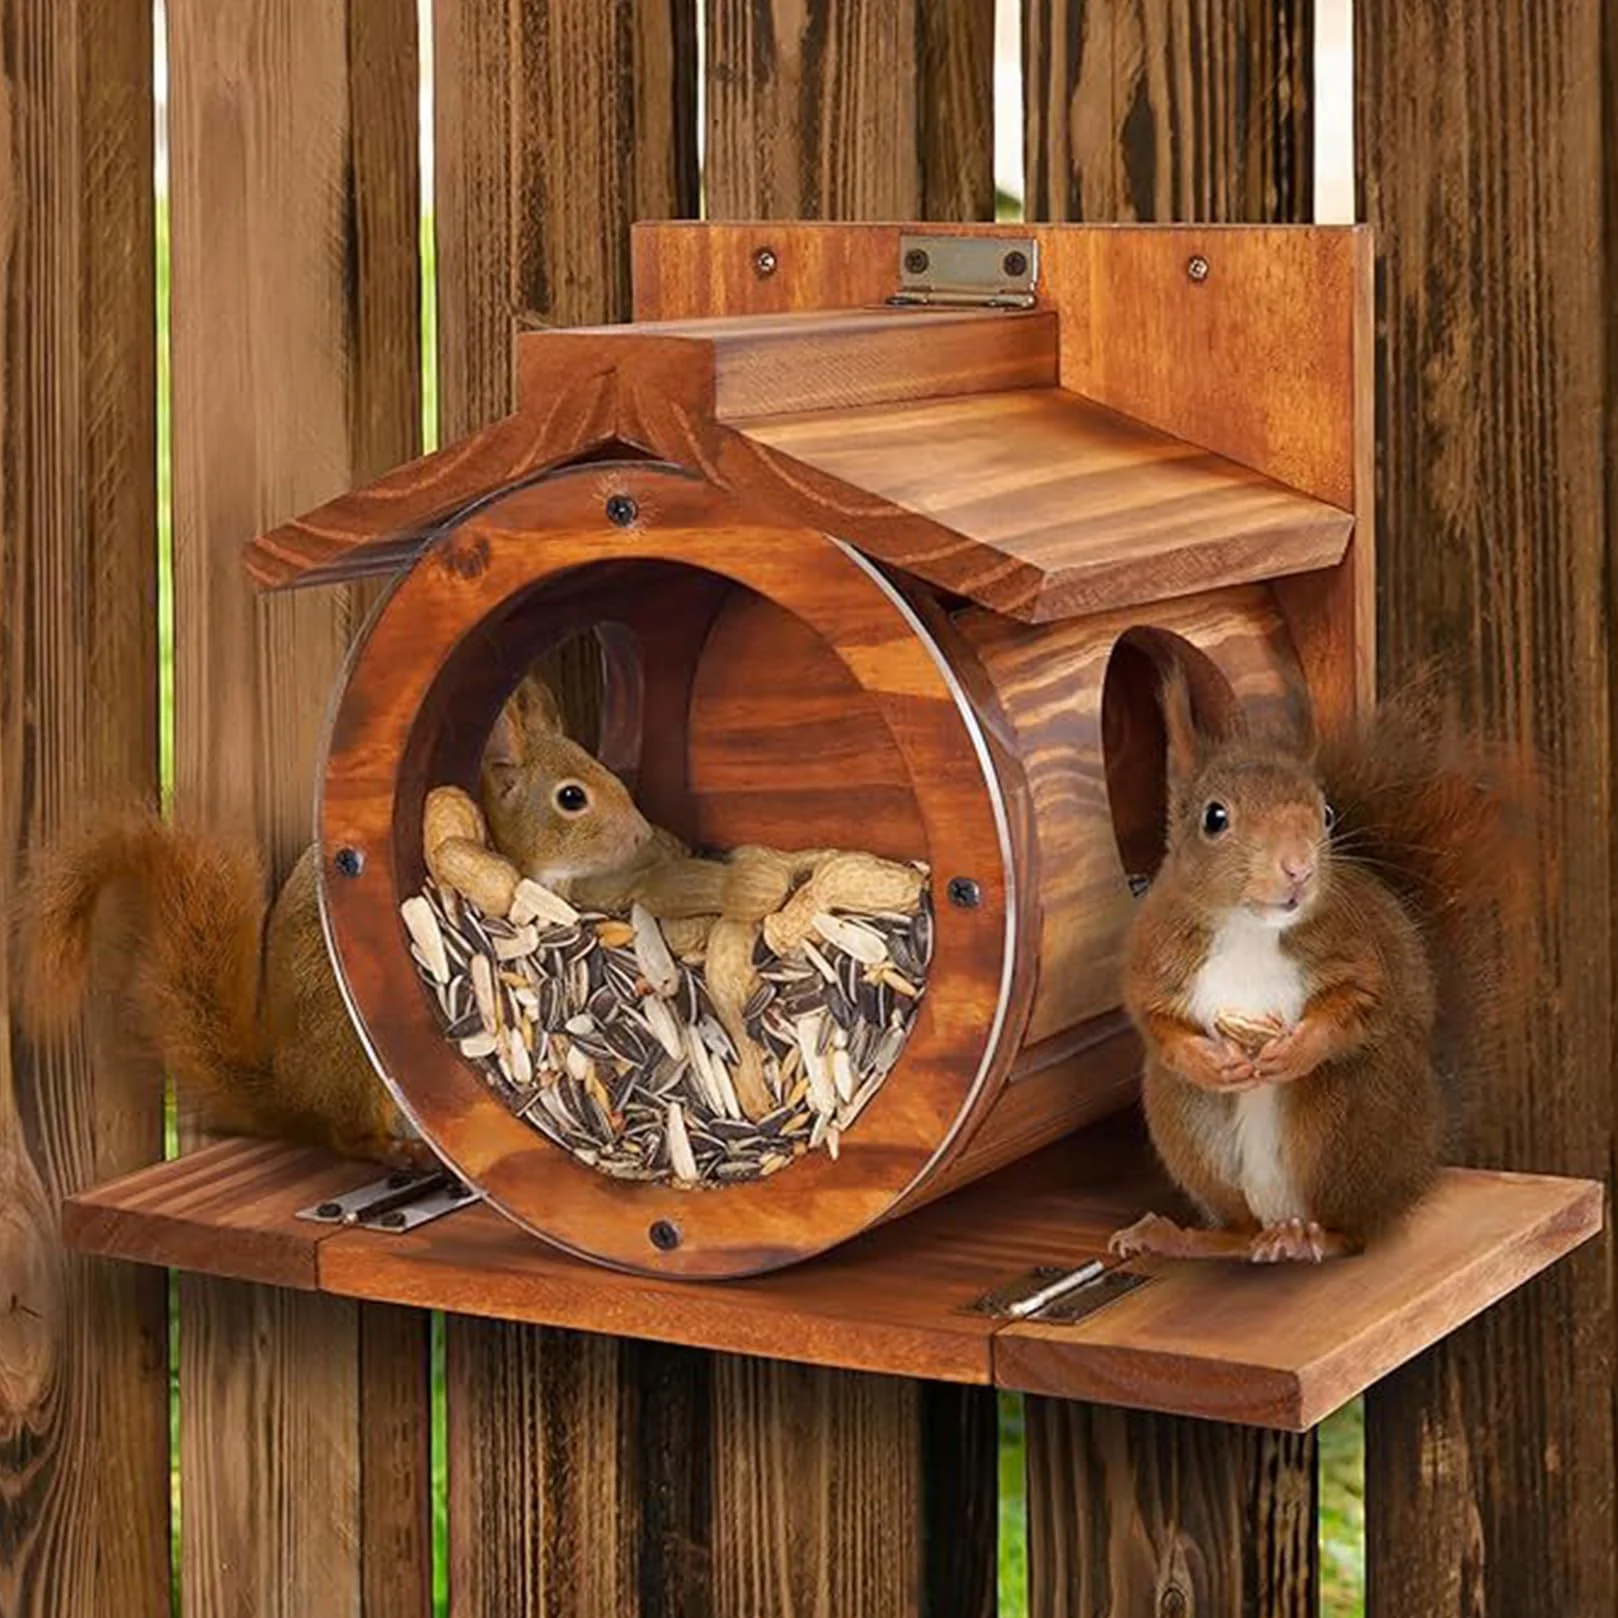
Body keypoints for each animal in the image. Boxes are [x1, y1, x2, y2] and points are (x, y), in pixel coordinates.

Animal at [14, 672, 656, 1166]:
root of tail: (292, 1097)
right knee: (347, 1137)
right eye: (571, 798)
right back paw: (397, 1153)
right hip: (354, 1057)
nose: (643, 834)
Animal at [1109, 666, 1537, 1265]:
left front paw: (1295, 1049)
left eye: (1327, 814)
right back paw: (1182, 1236)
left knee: (1354, 1232)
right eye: (1214, 818)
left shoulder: (1359, 952)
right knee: (1238, 1232)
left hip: (1348, 1117)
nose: (1298, 868)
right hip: (1186, 1121)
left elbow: (1358, 1005)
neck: (1250, 930)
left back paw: (1311, 1237)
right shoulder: (1155, 958)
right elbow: (1156, 1022)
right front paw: (1208, 1060)